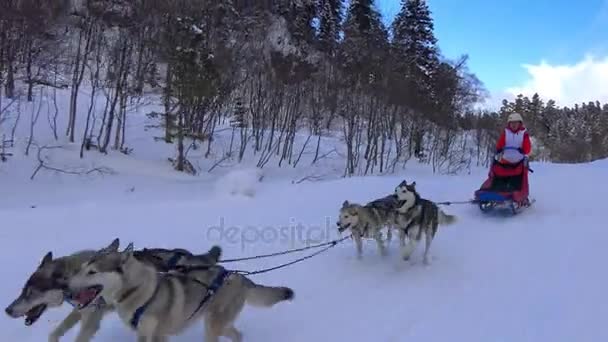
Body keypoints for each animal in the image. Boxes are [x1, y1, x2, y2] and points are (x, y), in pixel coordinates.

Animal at [2, 240, 221, 342]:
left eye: (31, 293)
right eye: (23, 290)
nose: (7, 310)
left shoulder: (90, 321)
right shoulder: (80, 311)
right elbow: (55, 333)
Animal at [69, 239, 294, 340]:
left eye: (92, 272)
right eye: (82, 268)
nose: (68, 287)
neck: (140, 291)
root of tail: (238, 276)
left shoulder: (158, 335)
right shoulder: (142, 334)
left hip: (213, 325)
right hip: (218, 323)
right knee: (237, 334)